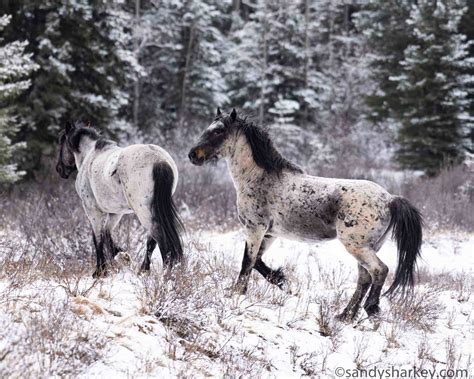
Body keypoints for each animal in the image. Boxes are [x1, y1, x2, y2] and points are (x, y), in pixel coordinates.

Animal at [56, 122, 184, 280]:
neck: (90, 156)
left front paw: (100, 271)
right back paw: (144, 270)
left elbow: (97, 238)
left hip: (144, 212)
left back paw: (165, 275)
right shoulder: (116, 213)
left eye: (61, 142)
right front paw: (121, 255)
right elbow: (107, 233)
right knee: (151, 240)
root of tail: (159, 160)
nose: (59, 169)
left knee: (159, 238)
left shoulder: (92, 211)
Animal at [189, 109, 422, 320]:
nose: (193, 155)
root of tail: (390, 199)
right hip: (368, 247)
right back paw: (345, 316)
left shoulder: (255, 229)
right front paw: (282, 281)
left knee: (379, 271)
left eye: (218, 131)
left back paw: (370, 309)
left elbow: (247, 261)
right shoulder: (269, 234)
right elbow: (257, 262)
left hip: (357, 246)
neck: (259, 179)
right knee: (365, 278)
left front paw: (237, 293)